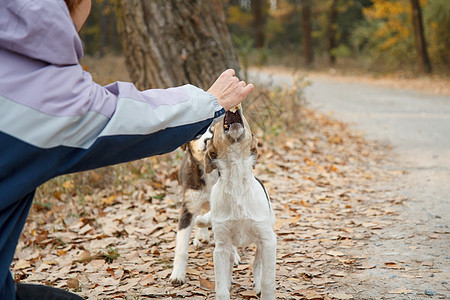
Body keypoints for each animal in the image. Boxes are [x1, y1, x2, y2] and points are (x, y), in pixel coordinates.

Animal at [197, 108, 278, 300]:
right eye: (214, 130)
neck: (236, 185)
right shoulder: (221, 247)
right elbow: (220, 287)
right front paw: (225, 288)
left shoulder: (268, 240)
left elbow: (268, 280)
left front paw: (263, 288)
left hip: (265, 237)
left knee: (257, 263)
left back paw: (257, 284)